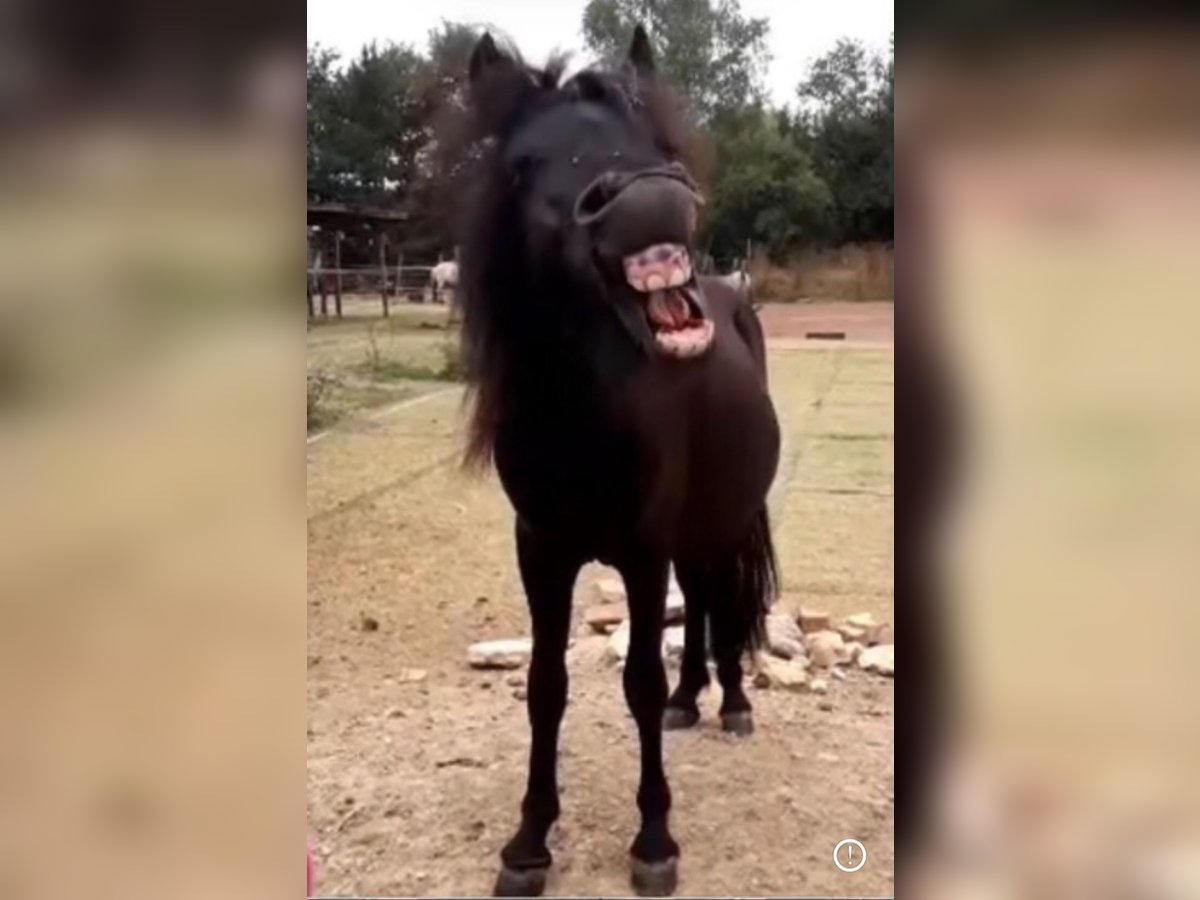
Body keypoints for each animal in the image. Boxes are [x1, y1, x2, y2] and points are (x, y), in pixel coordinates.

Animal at [456, 24, 777, 897]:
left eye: (654, 141)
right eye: (525, 163)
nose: (648, 198)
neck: (580, 417)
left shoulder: (641, 550)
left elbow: (636, 681)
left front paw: (655, 841)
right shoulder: (541, 549)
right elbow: (546, 686)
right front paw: (528, 843)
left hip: (722, 519)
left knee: (722, 598)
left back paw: (730, 703)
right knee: (699, 603)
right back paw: (693, 699)